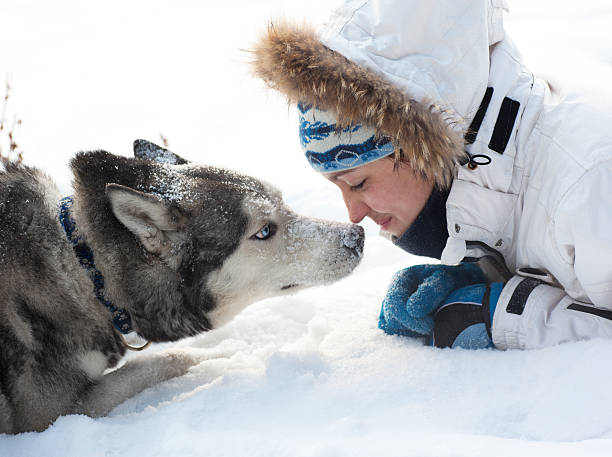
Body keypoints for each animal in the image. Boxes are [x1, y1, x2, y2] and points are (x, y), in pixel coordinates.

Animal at [0, 141, 364, 432]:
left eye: (285, 203)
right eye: (263, 231)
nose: (356, 237)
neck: (87, 269)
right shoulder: (50, 417)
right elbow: (163, 359)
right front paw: (225, 358)